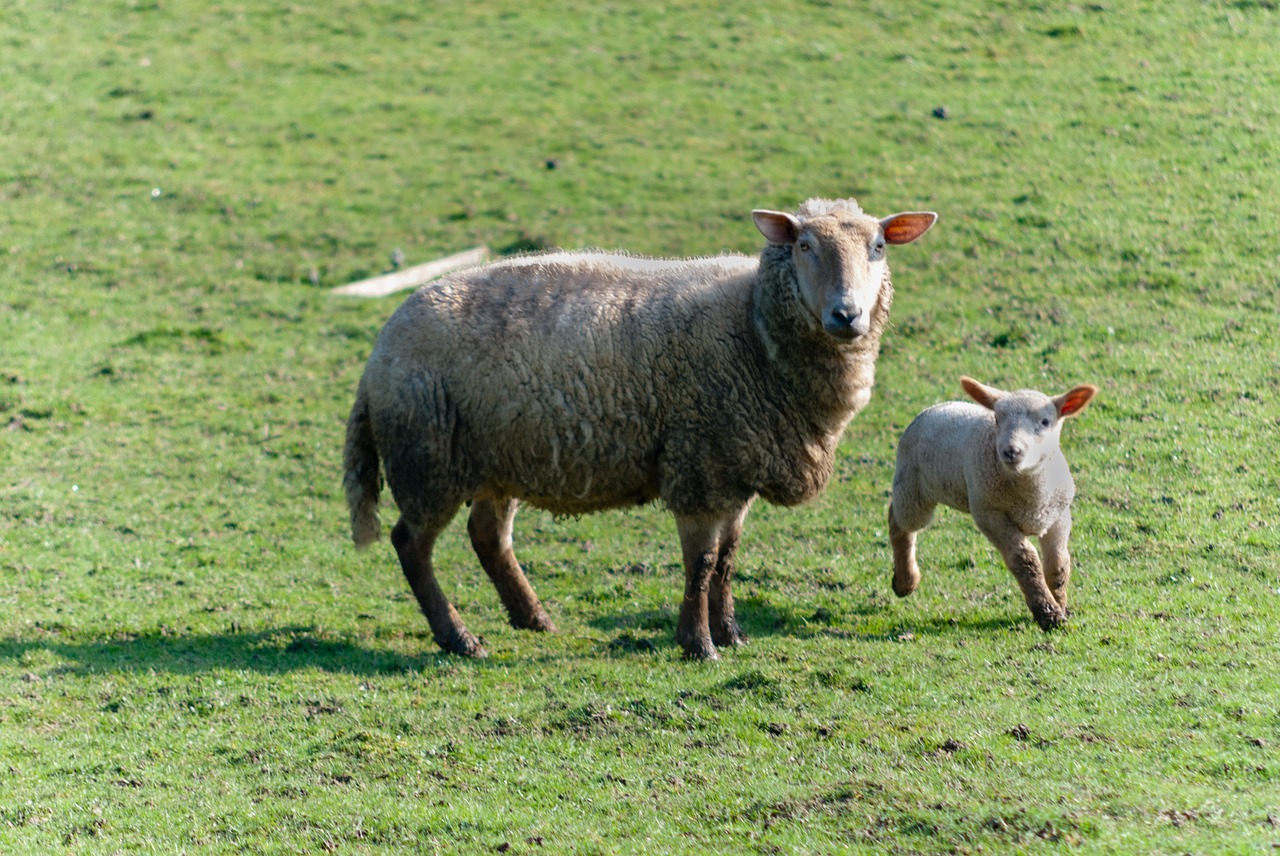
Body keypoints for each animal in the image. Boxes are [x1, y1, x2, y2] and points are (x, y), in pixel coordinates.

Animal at [345, 197, 936, 660]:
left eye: (878, 247)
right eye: (804, 246)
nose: (847, 316)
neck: (751, 325)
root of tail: (377, 353)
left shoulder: (736, 466)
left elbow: (727, 562)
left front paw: (731, 634)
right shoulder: (699, 464)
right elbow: (700, 564)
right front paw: (698, 644)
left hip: (499, 457)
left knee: (488, 536)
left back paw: (533, 618)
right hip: (427, 457)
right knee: (411, 545)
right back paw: (458, 637)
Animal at [890, 376, 1100, 632]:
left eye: (1045, 421)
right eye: (998, 419)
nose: (1011, 451)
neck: (1031, 493)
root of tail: (936, 407)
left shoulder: (1058, 514)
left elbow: (1058, 564)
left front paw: (1060, 605)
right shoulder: (989, 514)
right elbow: (1025, 560)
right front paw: (1048, 614)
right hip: (912, 487)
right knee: (899, 522)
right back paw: (905, 581)